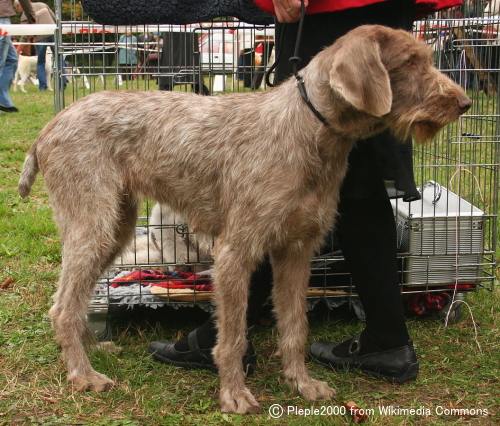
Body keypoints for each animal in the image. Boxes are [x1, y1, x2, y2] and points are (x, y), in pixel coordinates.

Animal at [19, 25, 470, 412]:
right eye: (409, 62)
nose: (463, 103)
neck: (309, 131)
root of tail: (47, 129)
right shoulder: (236, 253)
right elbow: (233, 336)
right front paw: (234, 394)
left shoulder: (297, 252)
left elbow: (295, 327)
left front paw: (301, 383)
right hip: (94, 226)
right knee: (62, 306)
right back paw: (83, 373)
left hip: (115, 229)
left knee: (74, 301)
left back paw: (90, 350)